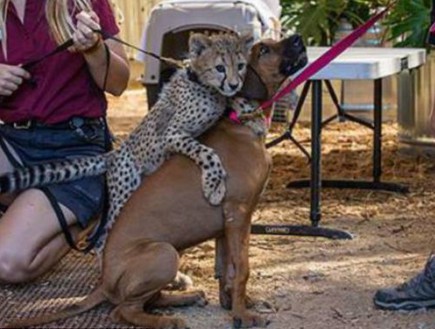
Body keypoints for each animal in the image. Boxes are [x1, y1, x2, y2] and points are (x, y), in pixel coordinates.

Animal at [5, 34, 308, 326]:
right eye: (264, 50)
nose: (298, 38)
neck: (240, 121)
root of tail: (104, 283)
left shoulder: (226, 225)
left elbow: (227, 269)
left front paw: (233, 303)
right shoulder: (238, 213)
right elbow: (242, 269)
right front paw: (242, 316)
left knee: (149, 299)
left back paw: (186, 298)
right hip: (165, 253)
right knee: (123, 311)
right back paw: (168, 320)